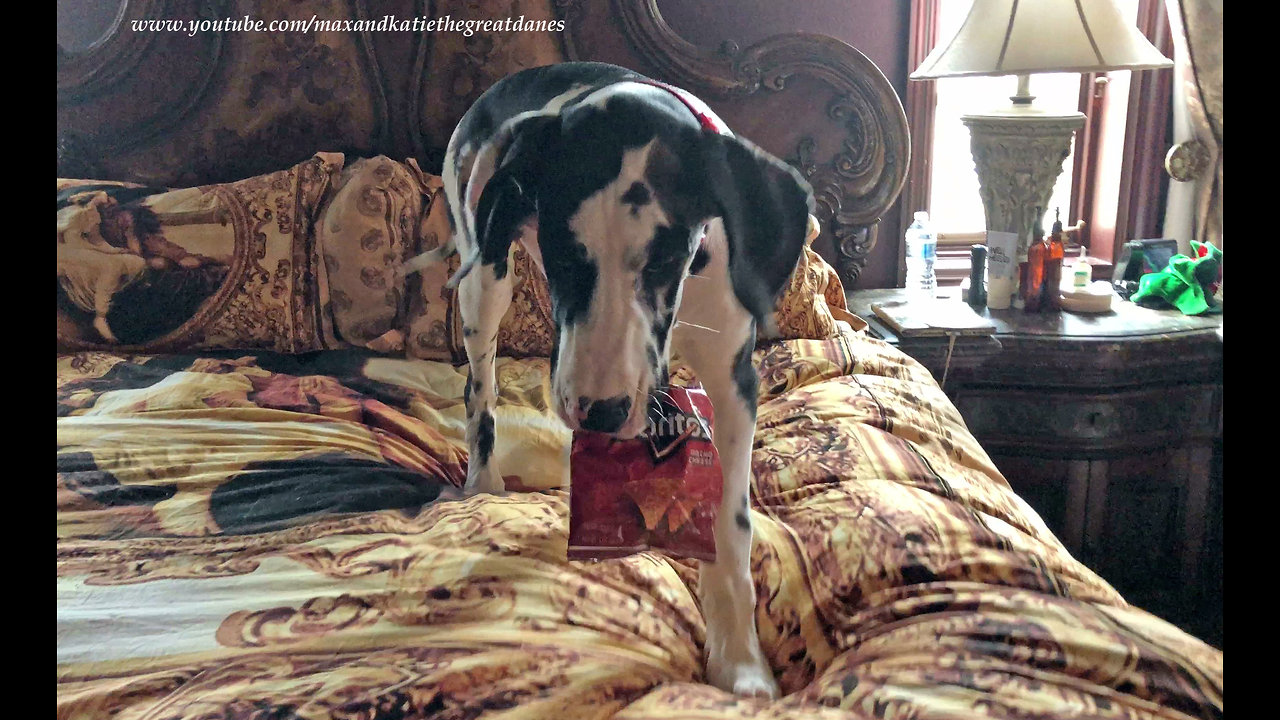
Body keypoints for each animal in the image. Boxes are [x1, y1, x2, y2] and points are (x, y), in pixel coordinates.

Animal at [404, 63, 814, 696]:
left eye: (666, 258)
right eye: (563, 255)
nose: (599, 412)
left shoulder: (732, 382)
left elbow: (731, 526)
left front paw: (740, 663)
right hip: (484, 279)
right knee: (481, 389)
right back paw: (483, 480)